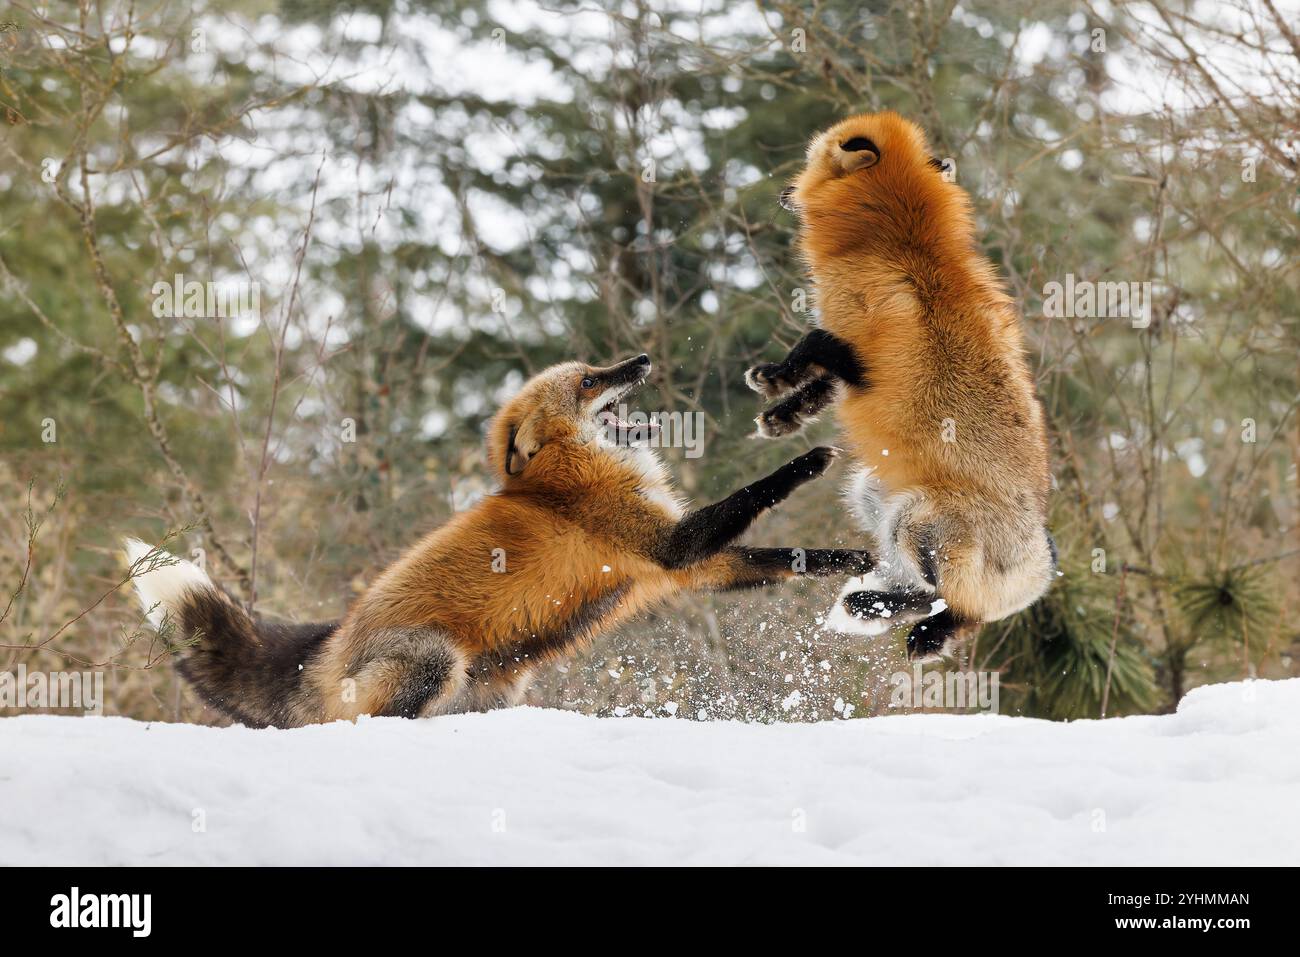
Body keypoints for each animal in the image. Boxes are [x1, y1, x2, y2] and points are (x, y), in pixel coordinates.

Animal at [125, 354, 873, 728]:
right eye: (590, 379)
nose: (640, 357)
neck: (567, 477)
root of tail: (330, 644)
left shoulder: (680, 568)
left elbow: (787, 558)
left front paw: (860, 567)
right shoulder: (668, 548)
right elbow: (754, 492)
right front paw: (809, 460)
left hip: (496, 688)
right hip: (434, 663)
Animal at [745, 112, 1055, 659]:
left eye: (808, 159)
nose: (781, 191)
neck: (901, 242)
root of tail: (1044, 570)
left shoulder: (859, 356)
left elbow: (809, 345)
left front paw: (777, 381)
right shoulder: (850, 367)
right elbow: (817, 385)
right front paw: (780, 413)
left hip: (919, 523)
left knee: (958, 609)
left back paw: (929, 635)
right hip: (874, 496)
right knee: (922, 592)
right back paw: (871, 606)